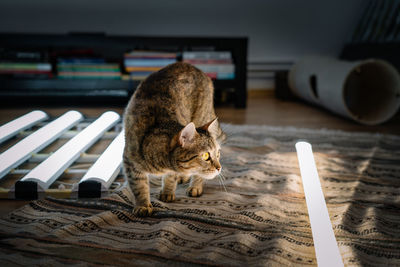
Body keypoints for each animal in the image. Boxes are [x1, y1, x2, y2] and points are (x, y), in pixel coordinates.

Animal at [123, 62, 225, 218]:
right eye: (206, 156)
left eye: (218, 154)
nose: (219, 167)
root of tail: (193, 66)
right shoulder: (130, 162)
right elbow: (139, 186)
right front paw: (143, 205)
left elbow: (171, 177)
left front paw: (167, 192)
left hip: (202, 115)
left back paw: (195, 186)